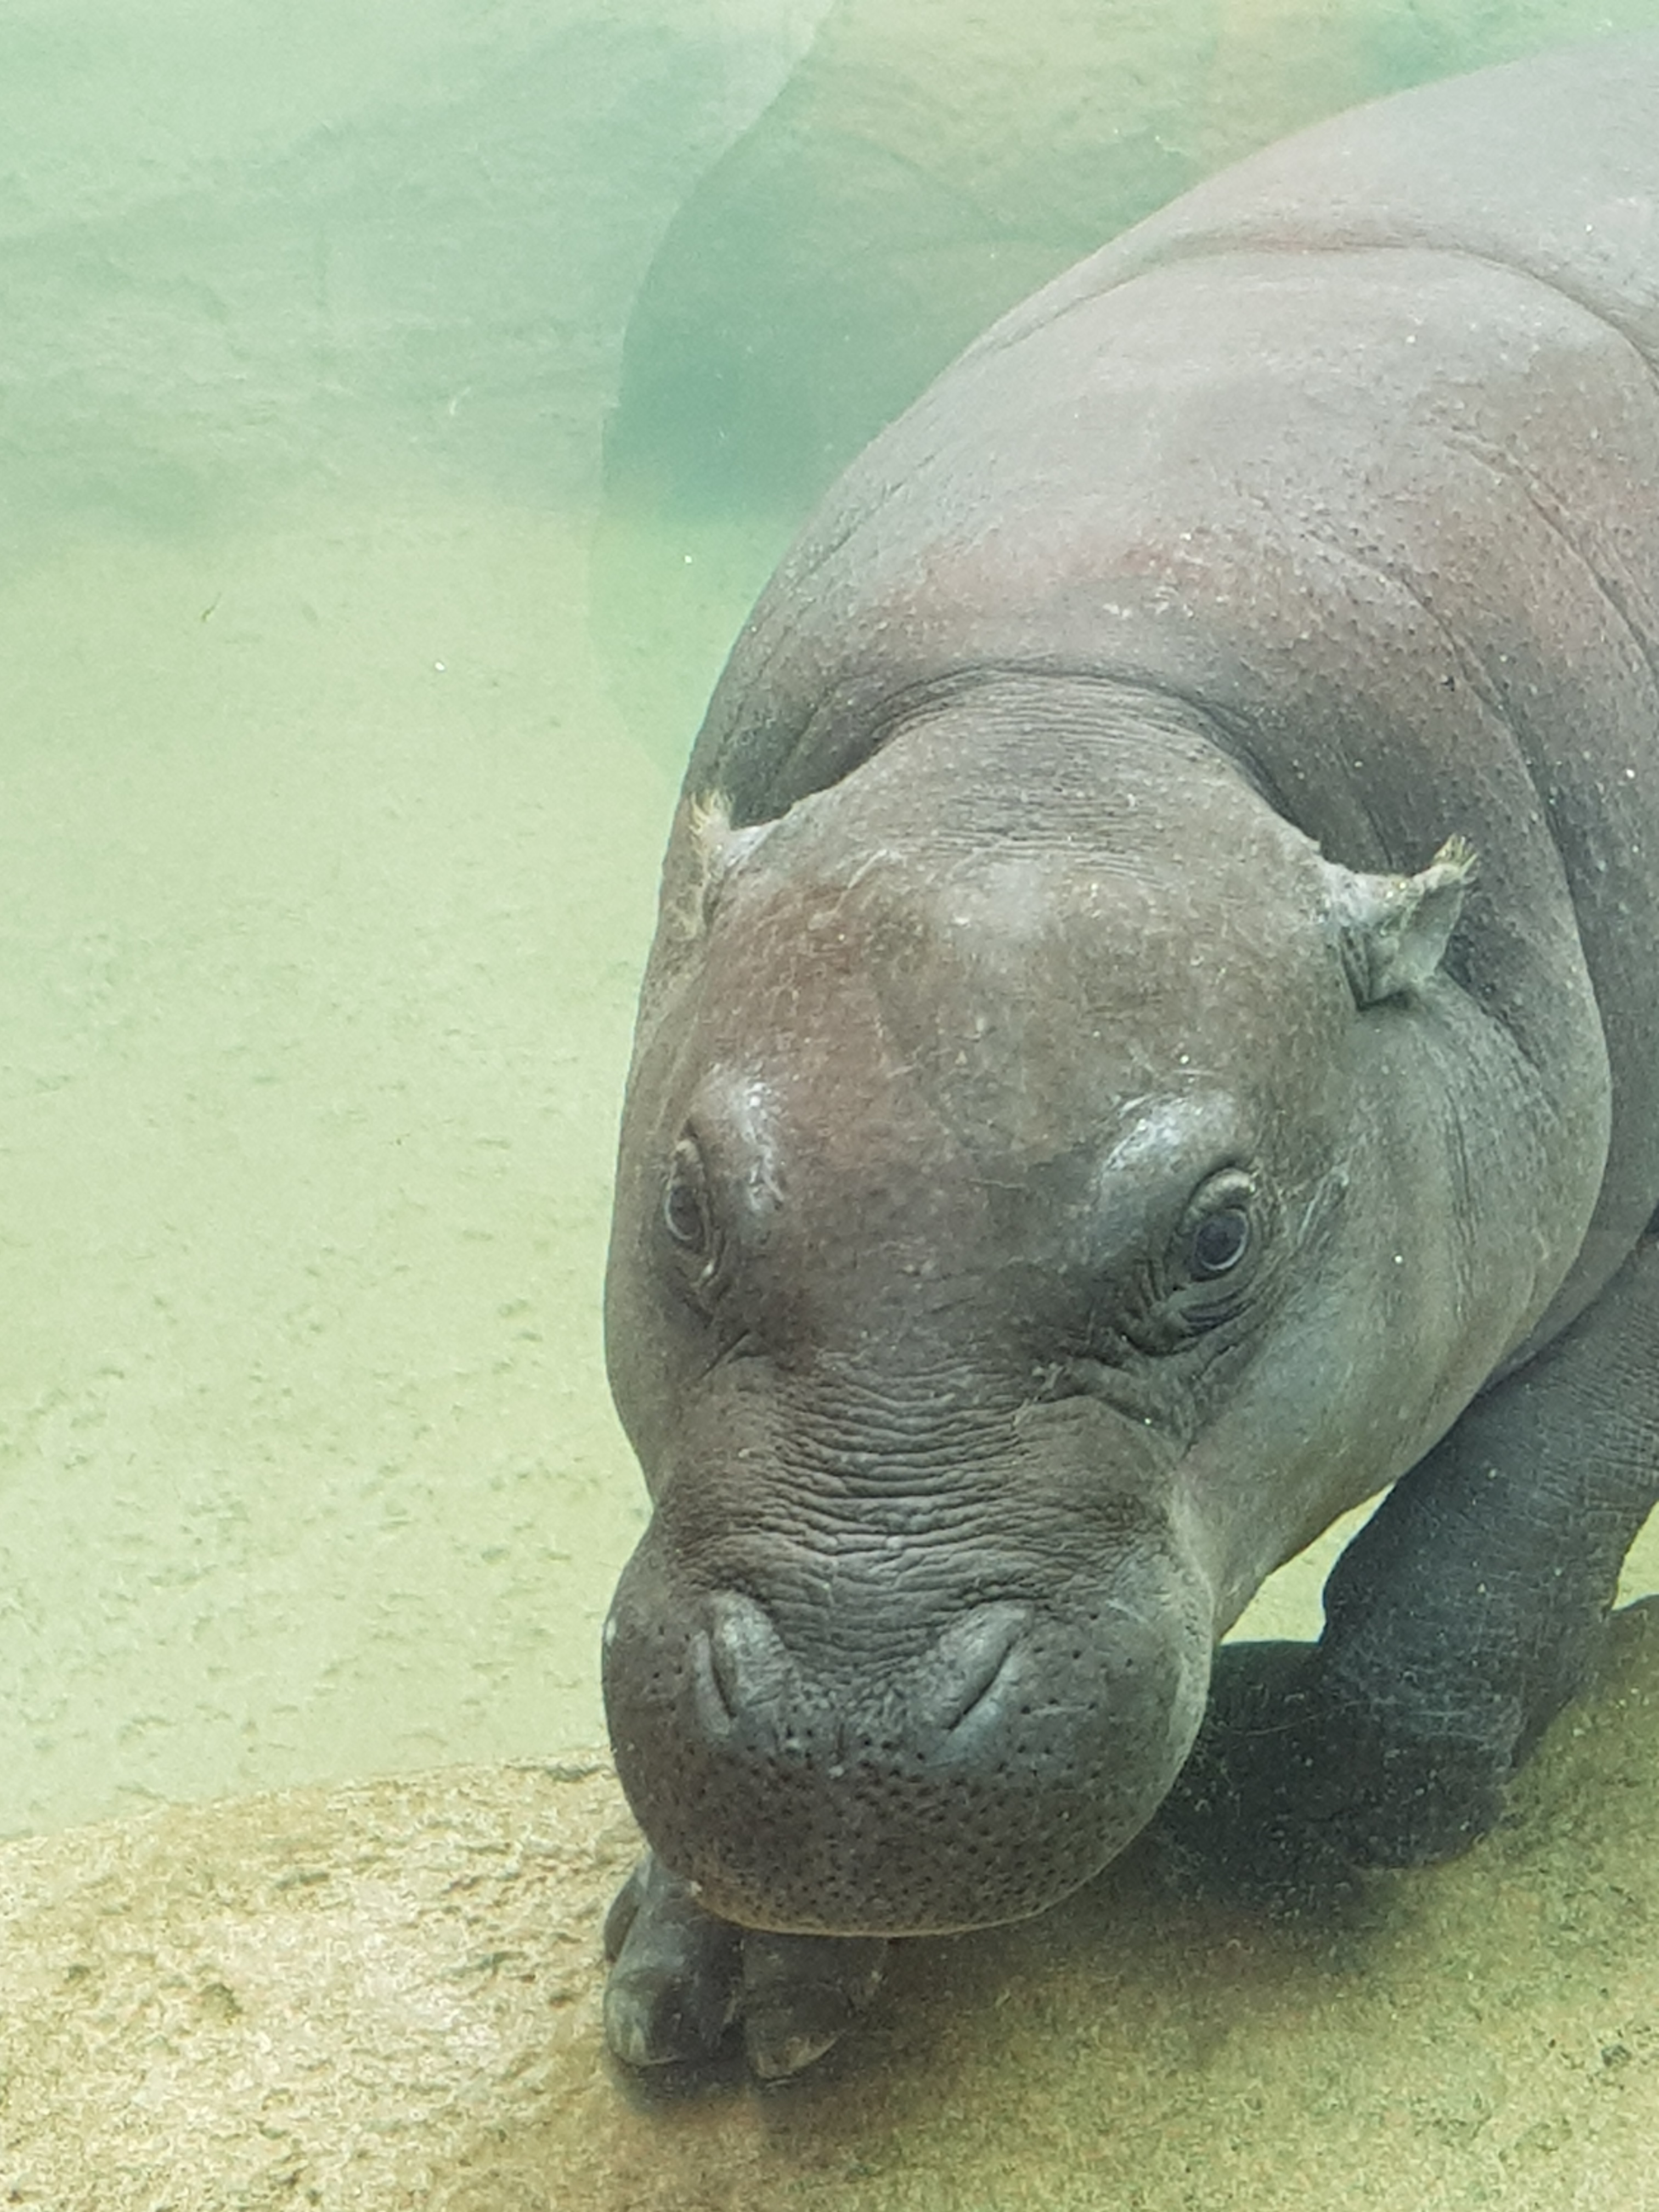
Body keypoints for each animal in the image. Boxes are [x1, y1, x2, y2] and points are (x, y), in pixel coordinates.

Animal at [597, 30, 1659, 2070]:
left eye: (1221, 1233)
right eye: (684, 1204)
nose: (845, 1743)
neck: (1074, 713)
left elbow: (1486, 1567)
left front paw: (1295, 1784)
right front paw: (717, 1989)